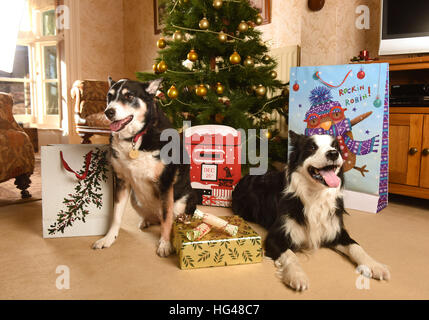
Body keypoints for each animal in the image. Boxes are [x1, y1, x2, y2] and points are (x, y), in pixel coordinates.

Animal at [232, 131, 390, 292]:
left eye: (335, 147)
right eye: (312, 147)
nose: (333, 154)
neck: (316, 195)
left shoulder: (336, 231)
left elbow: (356, 246)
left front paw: (374, 265)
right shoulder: (275, 237)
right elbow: (291, 255)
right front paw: (297, 276)